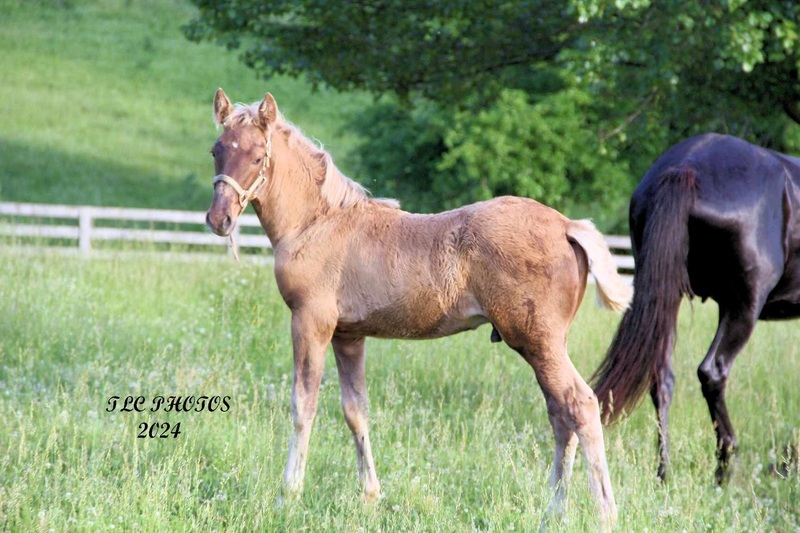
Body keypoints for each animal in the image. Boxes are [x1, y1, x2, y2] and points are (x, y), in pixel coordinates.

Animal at [204, 89, 632, 524]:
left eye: (257, 156)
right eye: (216, 151)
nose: (219, 219)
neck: (317, 223)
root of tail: (566, 226)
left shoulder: (311, 322)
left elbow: (302, 405)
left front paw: (288, 495)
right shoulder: (348, 336)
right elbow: (356, 410)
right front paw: (370, 496)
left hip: (536, 341)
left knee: (580, 405)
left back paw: (605, 513)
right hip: (543, 345)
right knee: (560, 414)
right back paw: (553, 513)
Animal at [592, 132, 800, 484]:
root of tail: (686, 166)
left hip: (668, 295)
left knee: (661, 378)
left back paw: (664, 473)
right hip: (743, 306)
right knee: (713, 372)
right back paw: (725, 468)